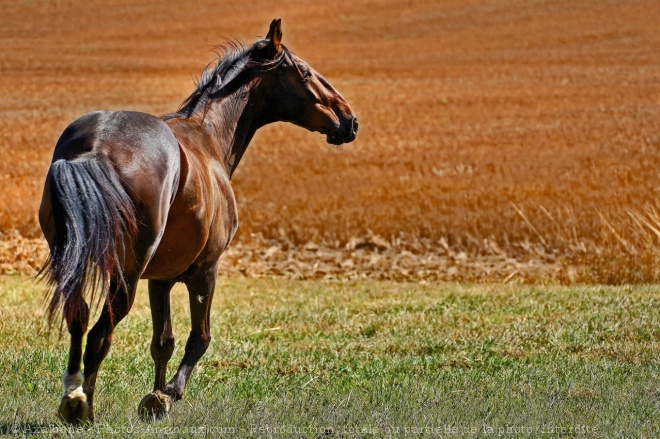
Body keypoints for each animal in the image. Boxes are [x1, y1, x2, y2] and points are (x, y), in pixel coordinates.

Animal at [38, 18, 358, 424]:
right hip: (125, 275)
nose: (349, 120)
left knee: (77, 316)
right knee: (100, 333)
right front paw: (166, 396)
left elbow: (162, 342)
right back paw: (82, 407)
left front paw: (155, 396)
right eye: (304, 72)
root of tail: (96, 147)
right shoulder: (205, 271)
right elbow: (199, 339)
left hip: (76, 263)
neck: (208, 139)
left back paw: (72, 394)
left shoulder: (160, 279)